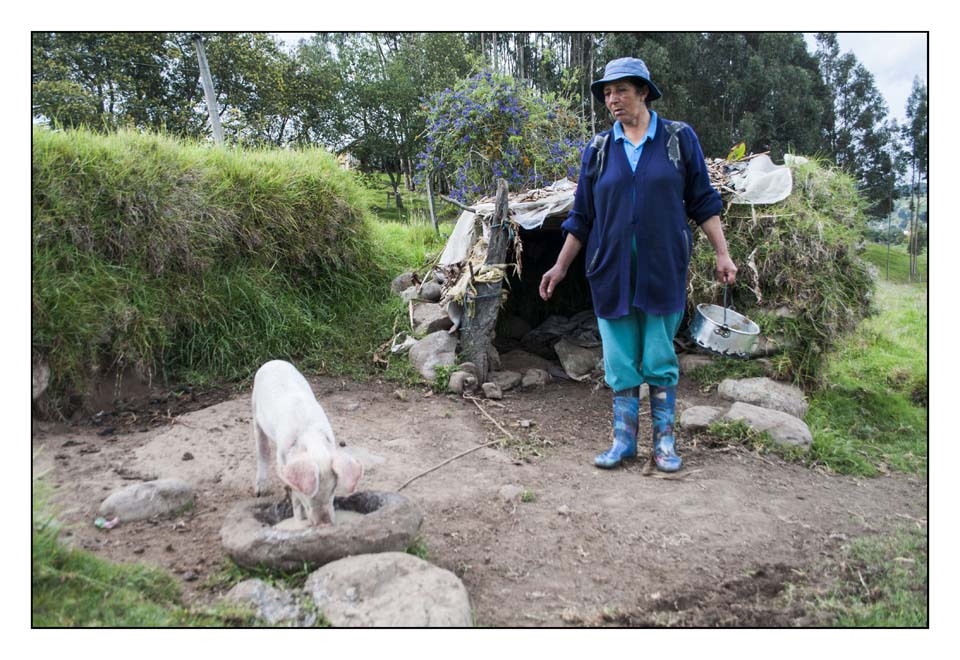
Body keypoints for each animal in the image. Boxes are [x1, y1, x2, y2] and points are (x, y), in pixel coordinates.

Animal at [251, 359, 363, 526]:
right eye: (309, 493)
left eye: (333, 489)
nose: (325, 523)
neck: (310, 436)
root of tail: (273, 361)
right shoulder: (282, 461)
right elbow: (294, 495)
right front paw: (299, 519)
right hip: (255, 411)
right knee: (262, 450)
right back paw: (261, 491)